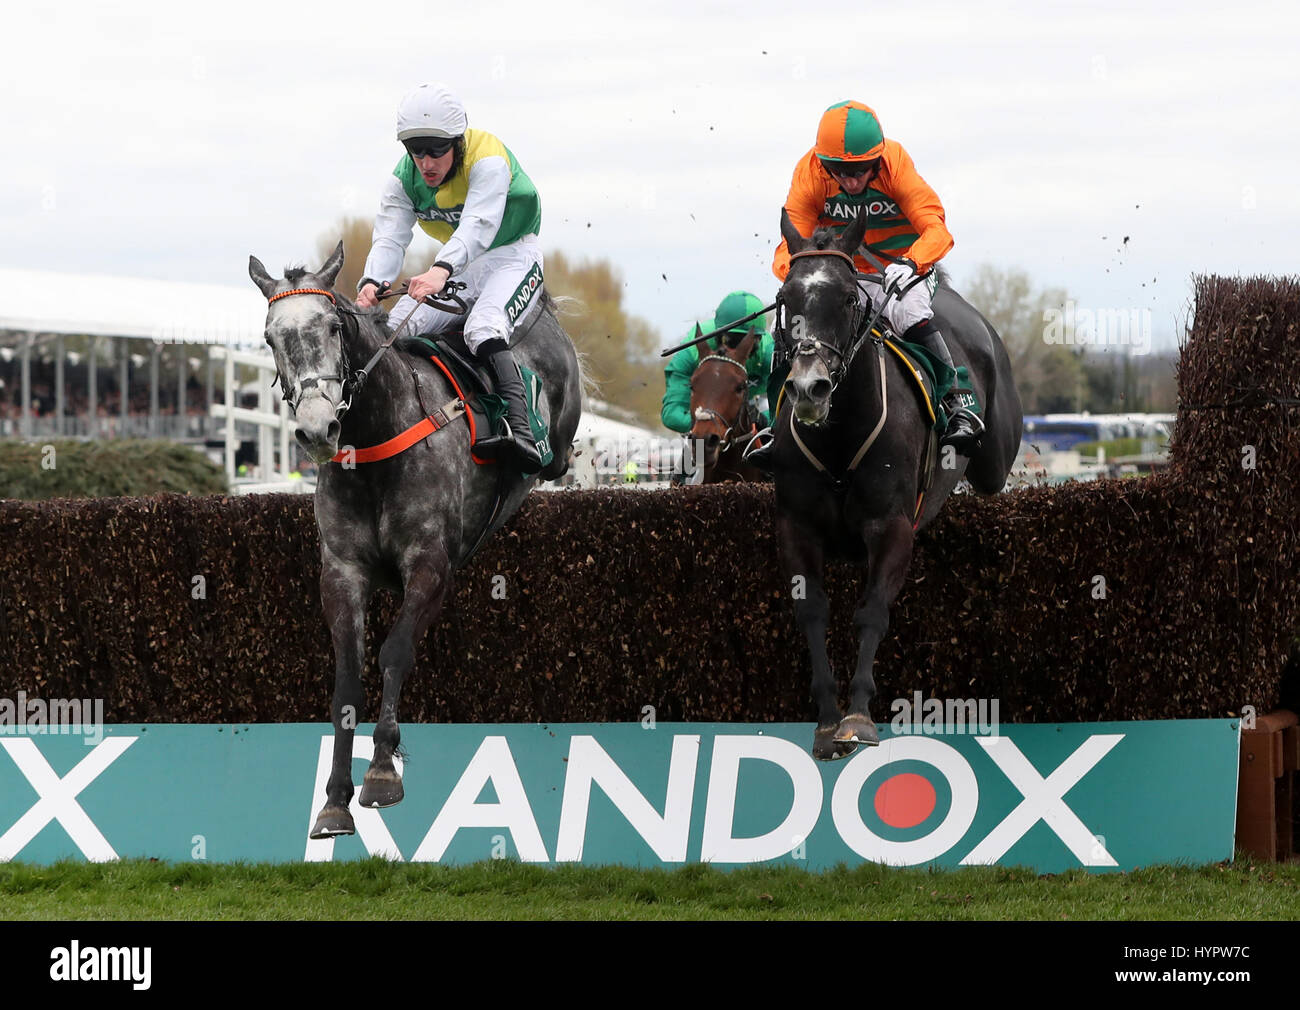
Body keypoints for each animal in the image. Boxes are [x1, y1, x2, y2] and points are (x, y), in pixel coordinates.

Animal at [246, 241, 579, 837]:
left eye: (333, 326)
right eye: (269, 338)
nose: (317, 430)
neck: (375, 443)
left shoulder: (430, 566)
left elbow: (395, 652)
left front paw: (381, 771)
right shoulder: (343, 573)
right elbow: (347, 682)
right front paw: (335, 799)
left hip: (550, 413)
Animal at [774, 210, 1019, 759]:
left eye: (848, 298)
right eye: (785, 299)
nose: (809, 387)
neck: (838, 434)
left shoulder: (891, 528)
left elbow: (871, 613)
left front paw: (858, 718)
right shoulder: (797, 529)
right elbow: (812, 612)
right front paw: (827, 721)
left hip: (995, 456)